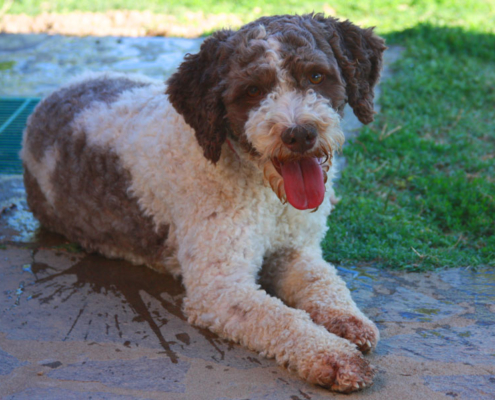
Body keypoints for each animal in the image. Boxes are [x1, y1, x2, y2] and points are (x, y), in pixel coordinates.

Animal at [22, 13, 388, 394]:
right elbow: (282, 318)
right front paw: (334, 355)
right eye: (253, 90)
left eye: (317, 76)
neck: (267, 196)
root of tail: (50, 99)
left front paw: (348, 319)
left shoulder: (295, 249)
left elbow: (324, 281)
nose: (300, 134)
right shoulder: (220, 288)